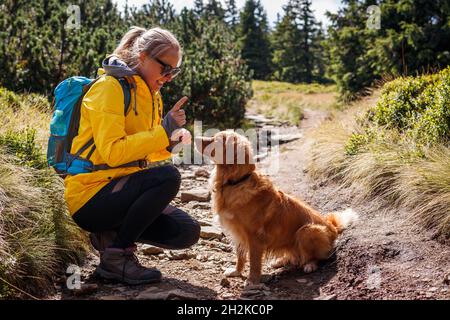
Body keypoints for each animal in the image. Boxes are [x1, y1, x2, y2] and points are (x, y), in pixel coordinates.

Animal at [195, 130, 356, 284]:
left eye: (215, 140)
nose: (195, 137)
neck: (236, 182)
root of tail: (333, 227)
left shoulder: (254, 236)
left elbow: (254, 261)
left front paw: (252, 280)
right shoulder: (238, 233)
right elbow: (240, 255)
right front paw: (236, 271)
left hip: (307, 230)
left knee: (316, 257)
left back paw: (309, 265)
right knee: (294, 255)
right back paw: (280, 261)